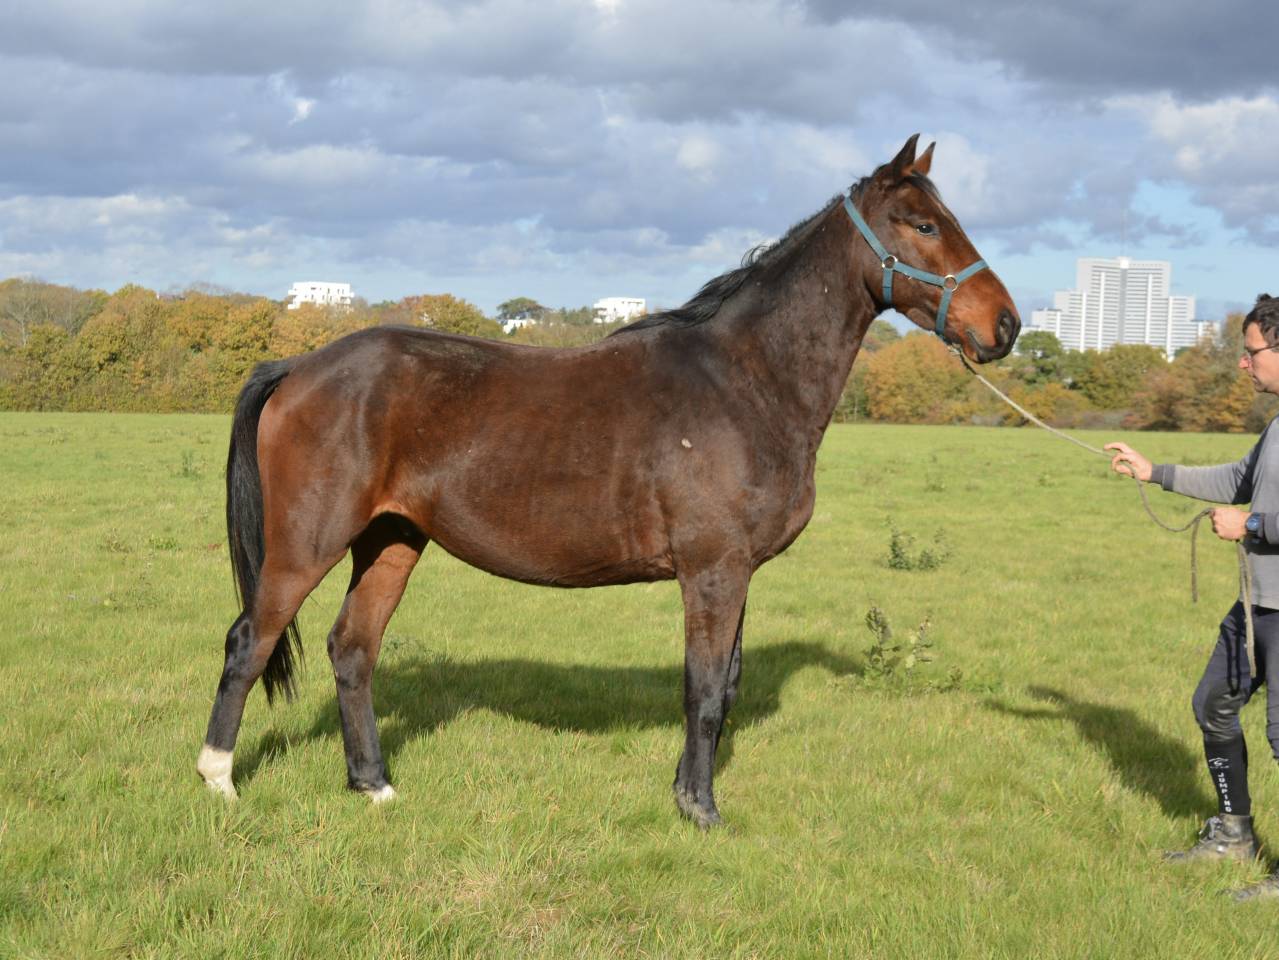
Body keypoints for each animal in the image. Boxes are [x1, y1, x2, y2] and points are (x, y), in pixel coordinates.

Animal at [197, 134, 1020, 827]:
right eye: (922, 224)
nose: (1006, 326)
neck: (744, 381)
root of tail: (297, 367)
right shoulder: (712, 570)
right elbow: (703, 691)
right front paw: (700, 810)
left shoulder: (738, 571)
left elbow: (726, 685)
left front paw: (689, 792)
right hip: (307, 545)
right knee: (249, 640)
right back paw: (220, 781)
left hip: (391, 541)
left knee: (352, 649)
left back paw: (372, 784)